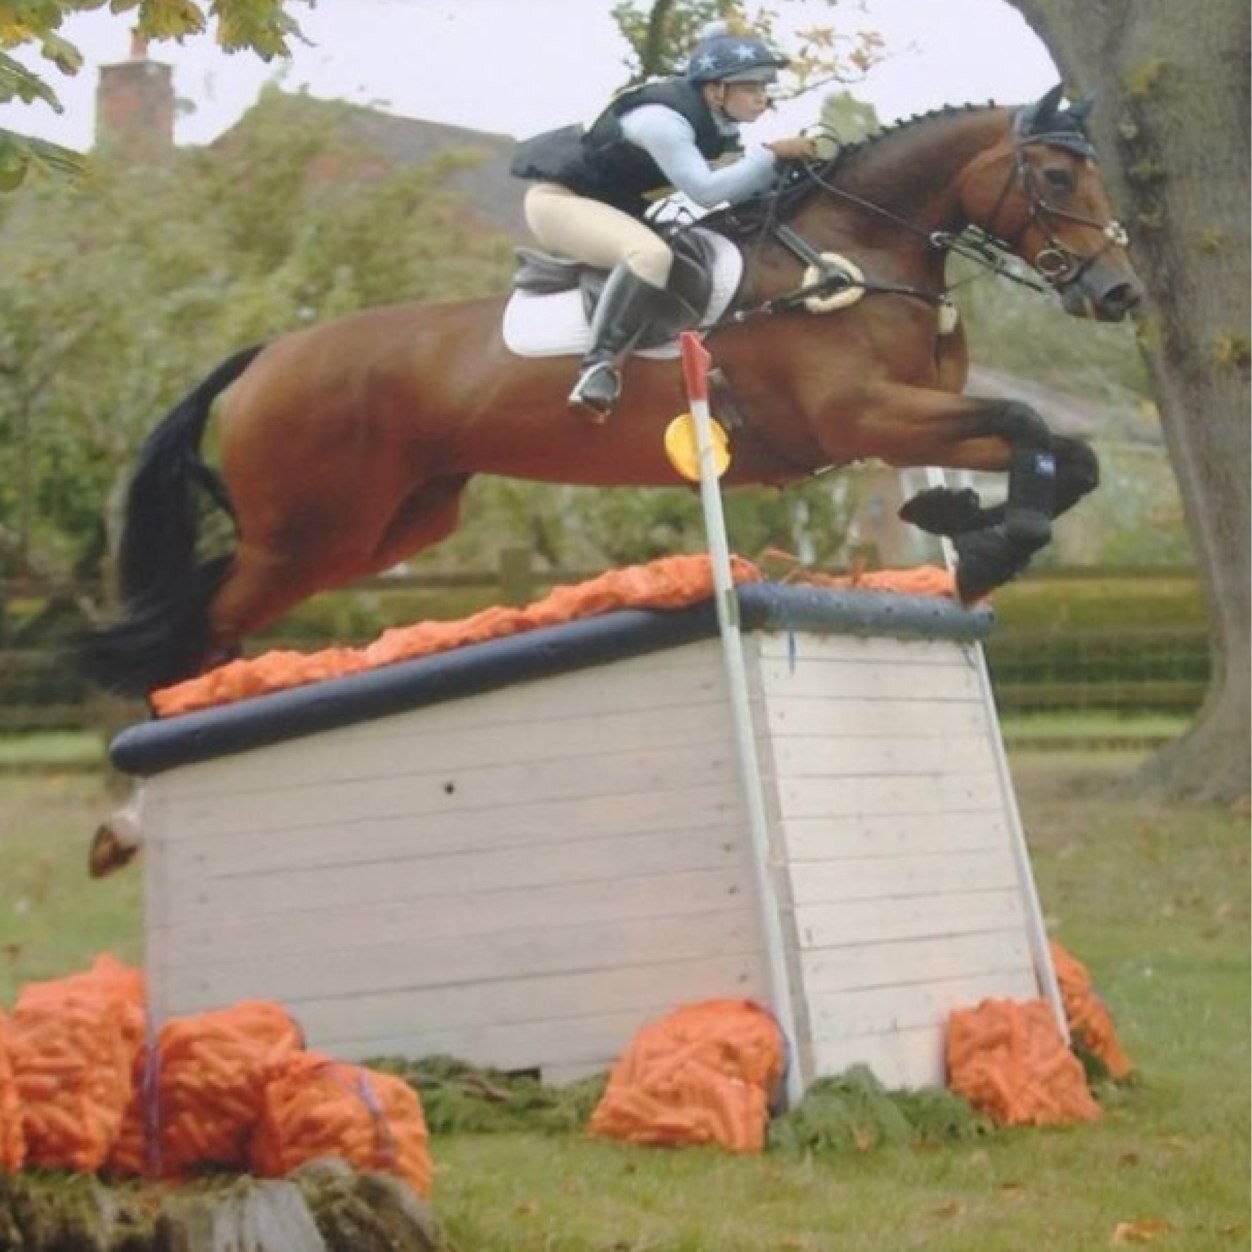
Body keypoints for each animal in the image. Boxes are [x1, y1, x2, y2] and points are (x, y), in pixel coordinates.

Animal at [76, 85, 1142, 698]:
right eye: (1055, 176)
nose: (1119, 294)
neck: (854, 249)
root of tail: (269, 353)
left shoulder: (904, 425)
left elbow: (1064, 454)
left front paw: (962, 521)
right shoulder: (864, 416)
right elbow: (1027, 421)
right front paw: (992, 539)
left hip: (383, 525)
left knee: (212, 603)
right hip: (313, 528)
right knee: (204, 620)